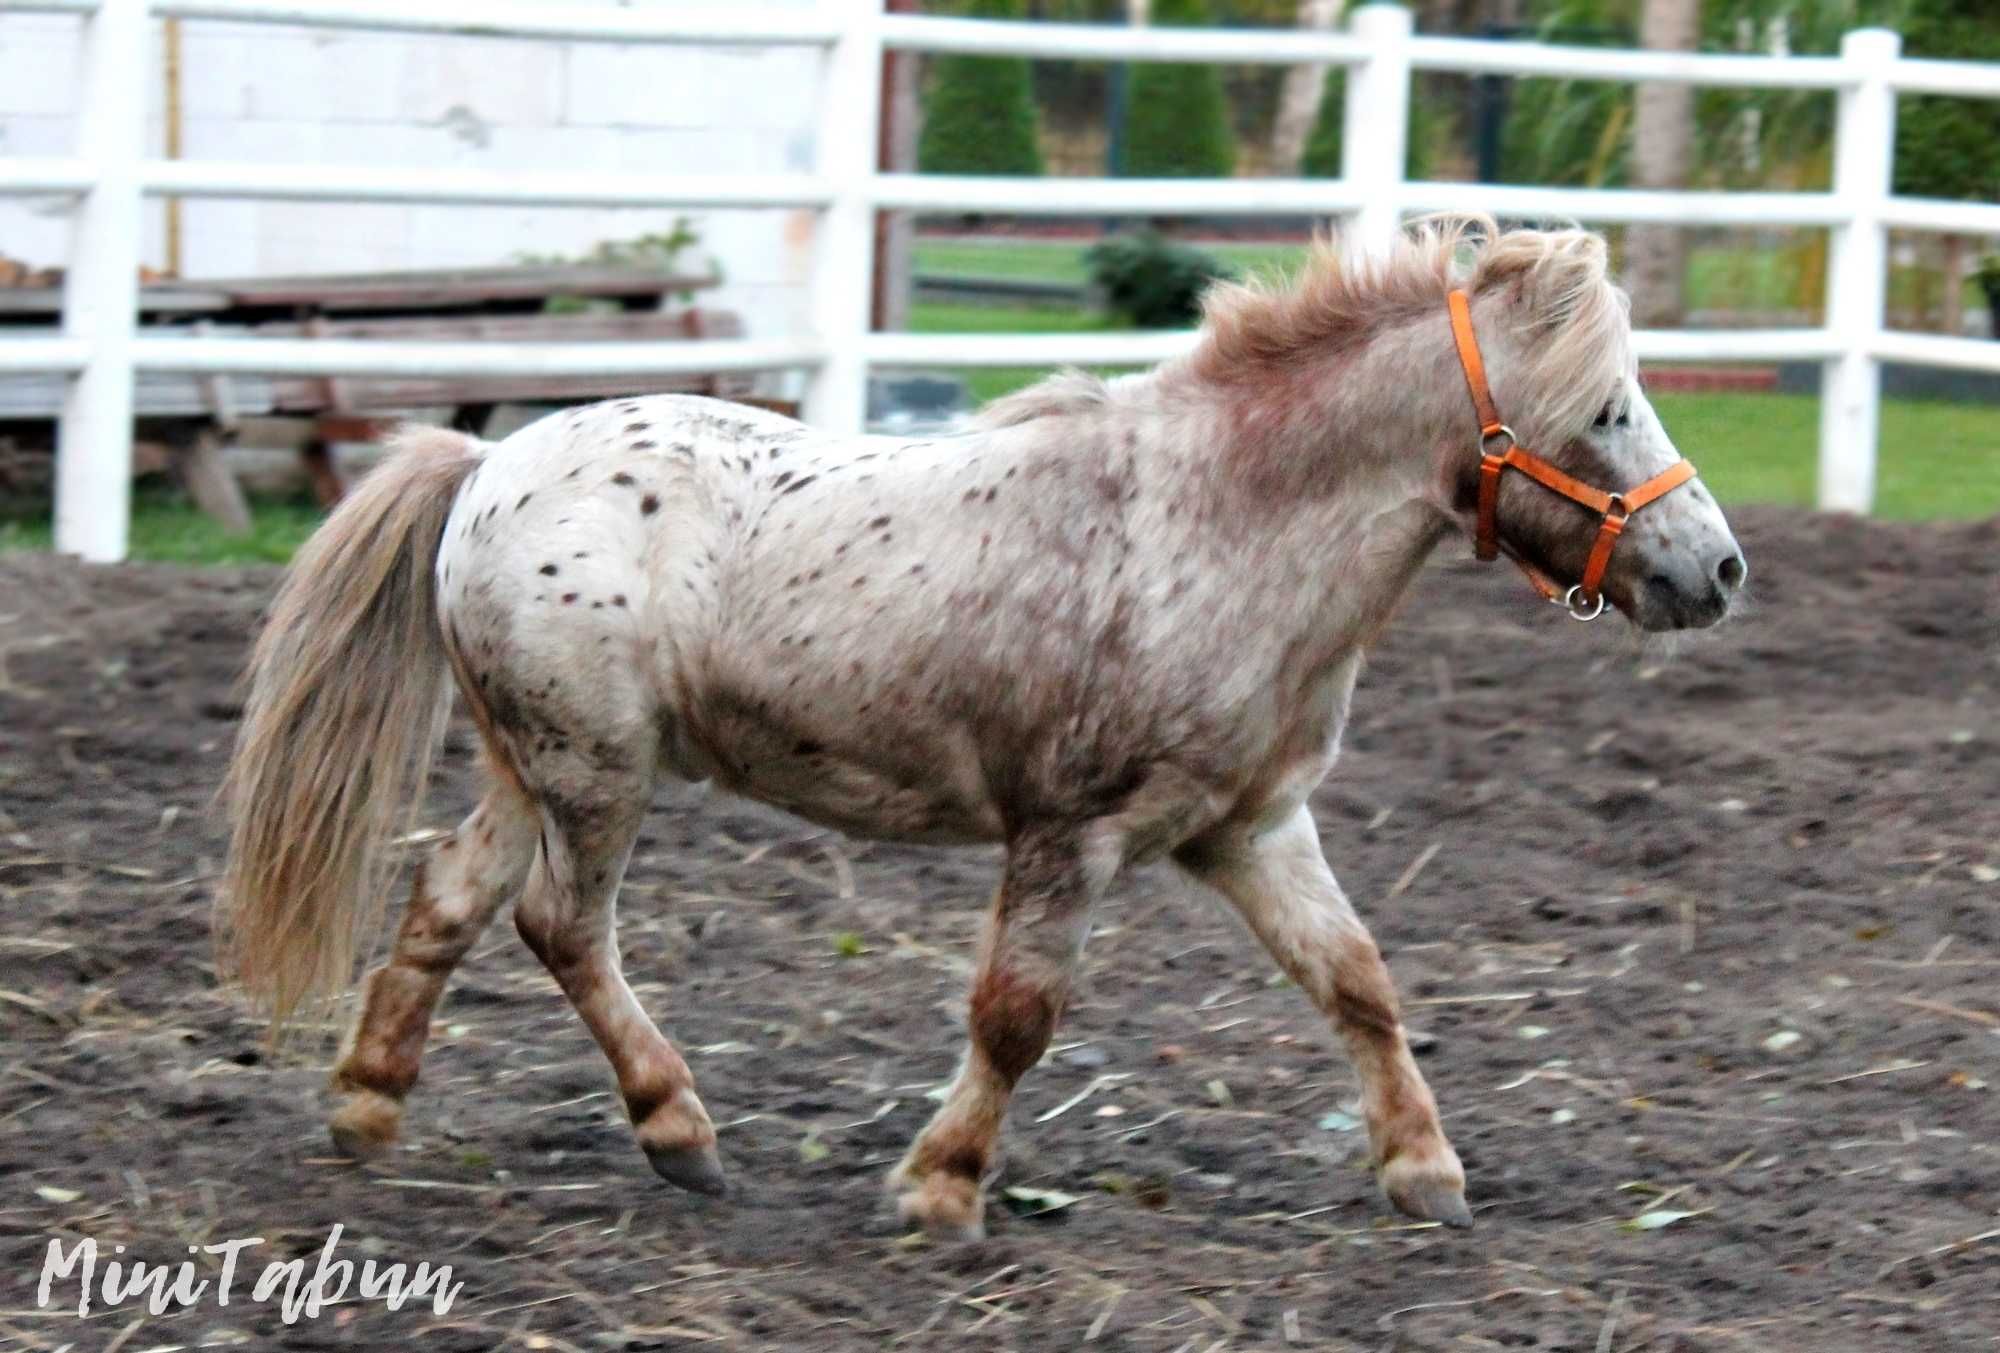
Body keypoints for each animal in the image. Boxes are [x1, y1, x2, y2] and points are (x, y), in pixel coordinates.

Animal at [219, 217, 1744, 1240]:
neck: (1220, 524)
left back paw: (368, 1103)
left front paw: (1425, 1172)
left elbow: (1358, 982)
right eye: (1604, 408)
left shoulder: (1252, 828)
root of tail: (489, 461)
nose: (1718, 569)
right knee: (559, 926)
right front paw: (939, 1186)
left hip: (528, 765)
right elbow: (1017, 1018)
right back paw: (678, 1129)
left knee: (447, 900)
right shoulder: (1070, 833)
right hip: (597, 775)